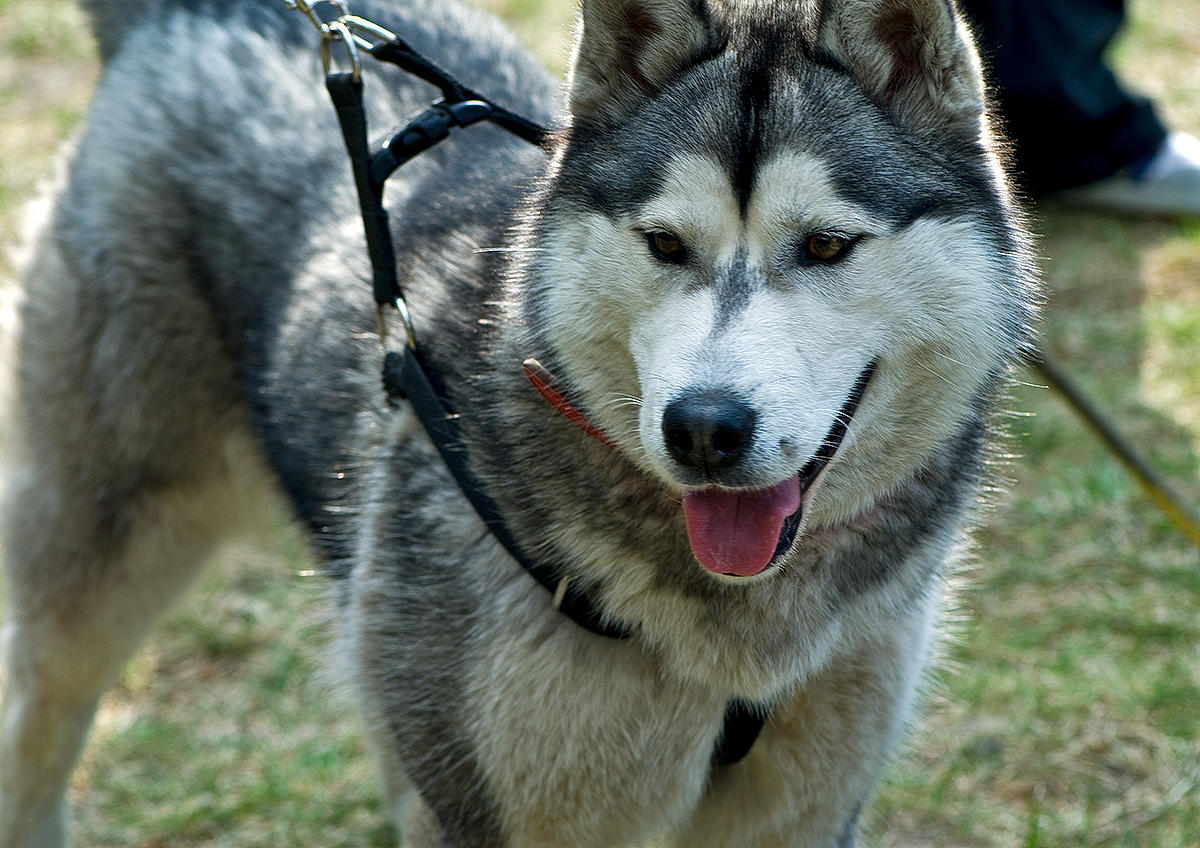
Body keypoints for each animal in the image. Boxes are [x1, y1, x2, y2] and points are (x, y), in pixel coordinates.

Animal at [0, 0, 1036, 844]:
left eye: (825, 245)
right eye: (665, 243)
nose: (704, 428)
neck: (735, 631)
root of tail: (196, 13)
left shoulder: (803, 809)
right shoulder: (488, 808)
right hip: (104, 559)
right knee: (38, 726)